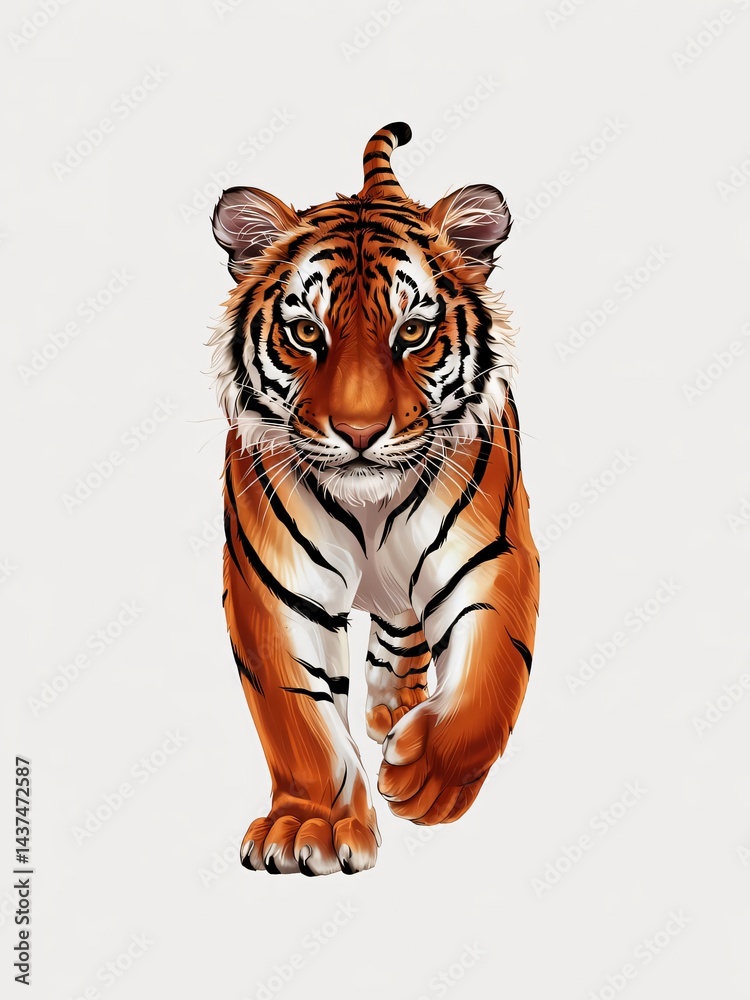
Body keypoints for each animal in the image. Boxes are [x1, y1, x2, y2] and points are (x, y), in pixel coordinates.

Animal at [209, 122, 539, 876]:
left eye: (412, 332)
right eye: (307, 332)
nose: (359, 432)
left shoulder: (496, 558)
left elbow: (489, 677)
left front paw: (426, 777)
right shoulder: (271, 588)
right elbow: (298, 719)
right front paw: (310, 828)